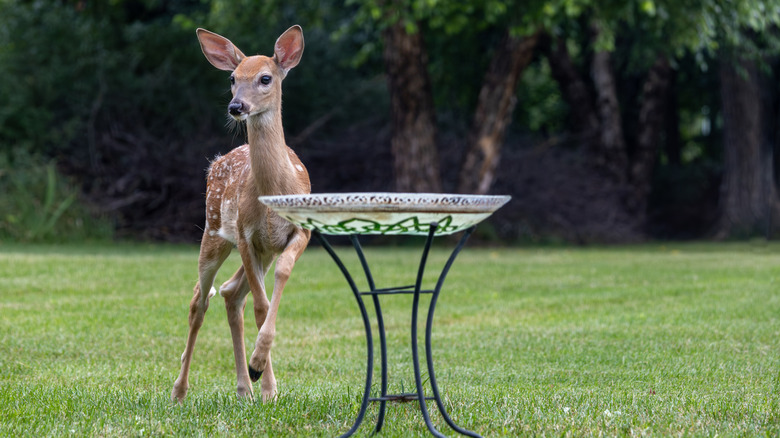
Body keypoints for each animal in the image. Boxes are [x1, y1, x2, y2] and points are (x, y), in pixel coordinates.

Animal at [171, 25, 310, 403]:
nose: (236, 106)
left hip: (260, 251)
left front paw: (260, 374)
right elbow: (262, 306)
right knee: (199, 301)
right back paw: (180, 390)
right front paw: (266, 381)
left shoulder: (301, 232)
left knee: (231, 293)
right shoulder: (246, 234)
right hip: (214, 232)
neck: (274, 190)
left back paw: (244, 388)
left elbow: (282, 277)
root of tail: (218, 161)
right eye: (232, 78)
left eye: (265, 78)